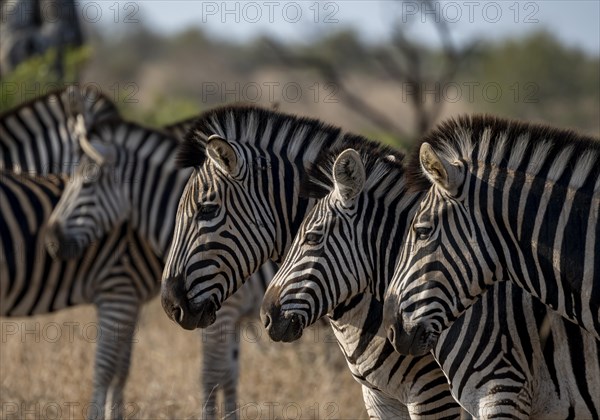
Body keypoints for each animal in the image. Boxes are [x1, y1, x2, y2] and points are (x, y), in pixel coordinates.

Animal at [44, 116, 278, 418]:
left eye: (86, 184)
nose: (51, 240)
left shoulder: (226, 310)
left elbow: (210, 375)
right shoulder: (230, 316)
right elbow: (228, 376)